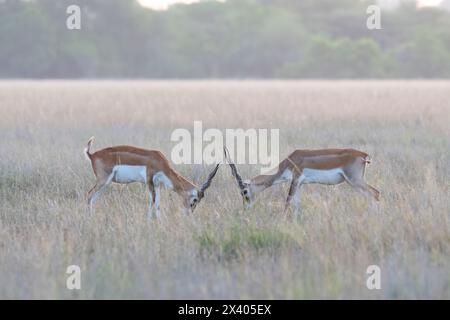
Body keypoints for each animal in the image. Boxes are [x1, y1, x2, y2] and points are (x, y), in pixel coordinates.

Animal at [84, 138, 220, 218]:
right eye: (195, 199)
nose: (189, 213)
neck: (159, 161)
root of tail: (92, 155)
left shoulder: (157, 184)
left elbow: (158, 204)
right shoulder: (149, 181)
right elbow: (152, 201)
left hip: (105, 183)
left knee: (93, 198)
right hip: (103, 181)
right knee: (89, 194)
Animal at [225, 148, 380, 215]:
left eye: (244, 191)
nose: (245, 209)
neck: (288, 162)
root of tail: (363, 155)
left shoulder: (295, 179)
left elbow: (288, 201)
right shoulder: (299, 184)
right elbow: (297, 204)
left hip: (354, 180)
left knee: (375, 193)